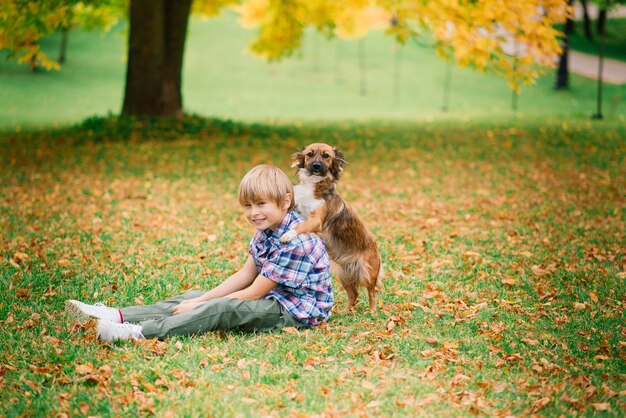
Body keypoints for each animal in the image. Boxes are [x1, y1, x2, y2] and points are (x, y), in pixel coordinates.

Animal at [280, 144, 382, 310]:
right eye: (309, 154)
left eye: (326, 156)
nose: (316, 166)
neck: (314, 183)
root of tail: (375, 245)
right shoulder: (295, 208)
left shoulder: (316, 220)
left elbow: (301, 225)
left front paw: (288, 234)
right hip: (344, 274)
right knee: (354, 294)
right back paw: (346, 312)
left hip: (368, 272)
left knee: (372, 292)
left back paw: (371, 312)